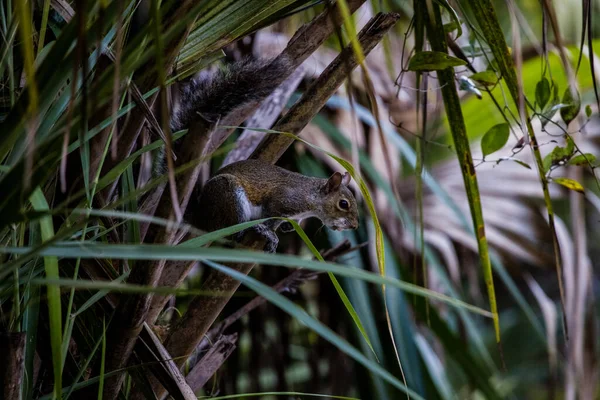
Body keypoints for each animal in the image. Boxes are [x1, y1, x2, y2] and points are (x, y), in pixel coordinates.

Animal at [166, 57, 358, 250]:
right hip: (229, 197)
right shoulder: (283, 201)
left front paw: (287, 226)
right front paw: (269, 232)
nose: (354, 226)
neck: (310, 198)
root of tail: (199, 217)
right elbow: (271, 217)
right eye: (343, 204)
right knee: (230, 230)